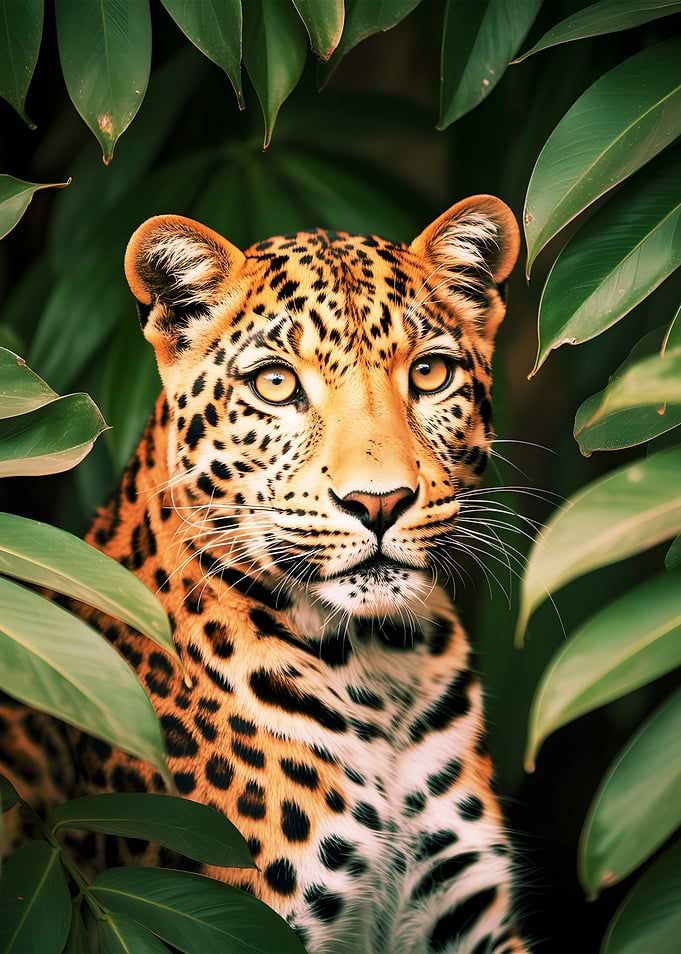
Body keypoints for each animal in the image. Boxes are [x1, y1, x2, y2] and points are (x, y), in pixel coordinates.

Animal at [0, 194, 530, 954]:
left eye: (430, 374)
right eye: (275, 385)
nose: (379, 502)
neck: (378, 665)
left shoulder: (463, 918)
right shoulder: (234, 914)